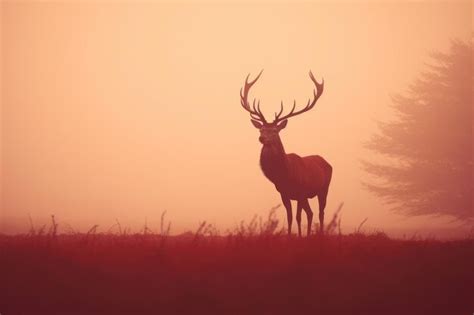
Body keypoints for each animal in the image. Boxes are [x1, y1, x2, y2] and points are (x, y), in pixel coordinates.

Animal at [239, 69, 332, 237]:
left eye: (275, 131)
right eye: (261, 129)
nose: (262, 138)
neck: (285, 175)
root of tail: (326, 162)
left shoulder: (301, 192)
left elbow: (298, 217)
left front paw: (300, 238)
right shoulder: (284, 194)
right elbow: (290, 217)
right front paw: (290, 237)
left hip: (324, 189)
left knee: (320, 213)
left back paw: (320, 235)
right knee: (311, 213)